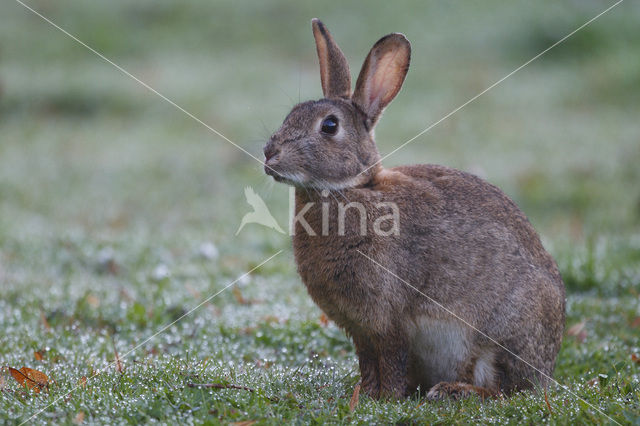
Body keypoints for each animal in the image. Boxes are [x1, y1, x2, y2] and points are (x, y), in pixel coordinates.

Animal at [262, 19, 564, 400]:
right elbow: (368, 362)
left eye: (329, 126)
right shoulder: (359, 329)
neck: (351, 190)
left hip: (502, 334)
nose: (269, 153)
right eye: (292, 113)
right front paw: (365, 395)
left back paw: (452, 391)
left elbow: (391, 357)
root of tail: (548, 366)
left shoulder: (389, 319)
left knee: (505, 388)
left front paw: (386, 398)